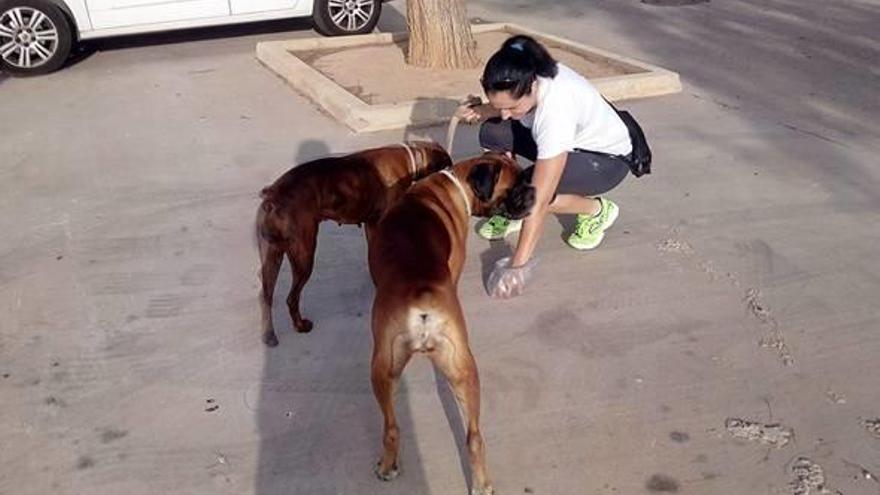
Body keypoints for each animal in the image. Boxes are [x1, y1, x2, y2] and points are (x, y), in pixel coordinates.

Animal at [253, 141, 446, 346]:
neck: (412, 158)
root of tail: (273, 194)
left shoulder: (371, 225)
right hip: (303, 256)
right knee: (291, 297)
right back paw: (300, 325)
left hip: (273, 255)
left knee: (266, 294)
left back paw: (269, 334)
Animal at [366, 154, 536, 495]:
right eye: (516, 186)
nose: (535, 191)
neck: (455, 183)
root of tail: (421, 294)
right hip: (461, 370)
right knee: (473, 437)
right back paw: (481, 484)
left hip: (389, 368)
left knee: (392, 427)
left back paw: (389, 466)